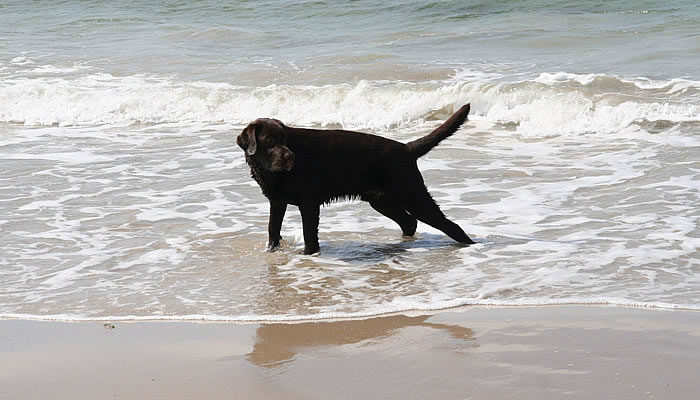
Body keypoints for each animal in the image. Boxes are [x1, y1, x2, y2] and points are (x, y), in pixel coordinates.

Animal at [237, 103, 476, 253]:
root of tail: (406, 148)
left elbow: (309, 235)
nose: (290, 157)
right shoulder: (277, 201)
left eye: (285, 140)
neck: (270, 172)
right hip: (381, 200)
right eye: (269, 141)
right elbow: (272, 229)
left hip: (413, 195)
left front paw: (308, 255)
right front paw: (271, 251)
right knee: (409, 222)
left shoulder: (309, 203)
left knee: (450, 225)